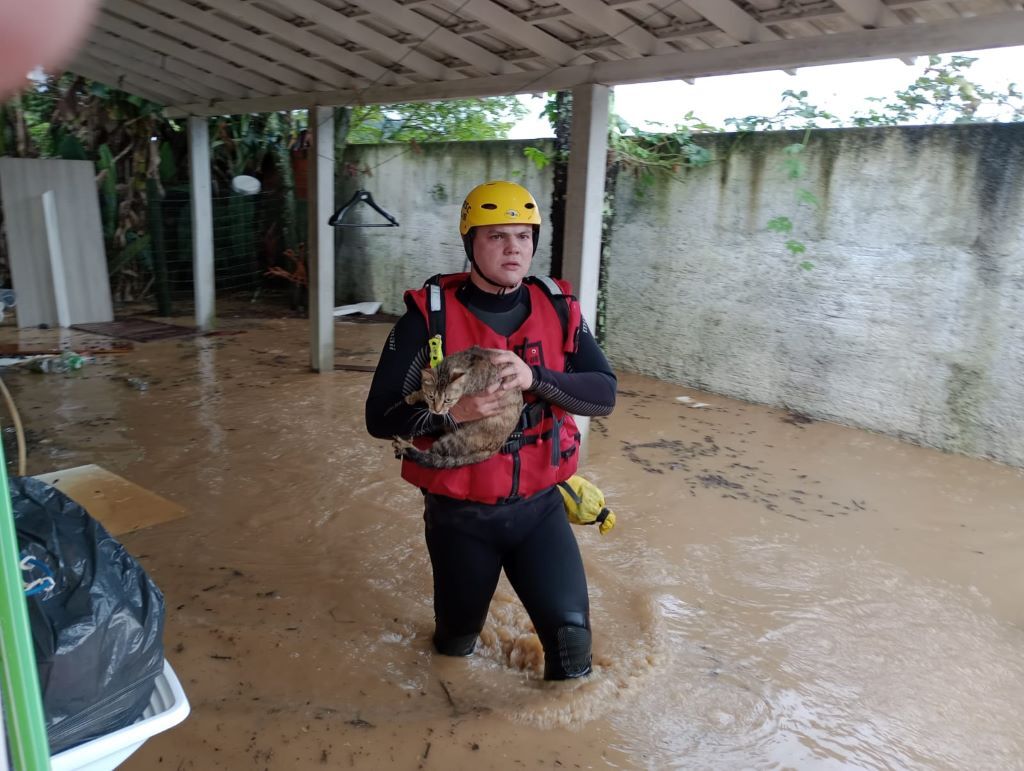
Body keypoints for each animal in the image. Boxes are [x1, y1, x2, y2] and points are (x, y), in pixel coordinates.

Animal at [389, 344, 520, 466]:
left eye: (448, 400)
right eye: (431, 397)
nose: (437, 411)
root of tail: (495, 449)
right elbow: (422, 391)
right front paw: (413, 396)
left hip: (457, 440)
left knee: (429, 455)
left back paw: (404, 446)